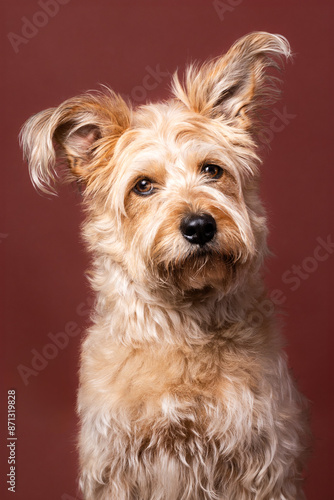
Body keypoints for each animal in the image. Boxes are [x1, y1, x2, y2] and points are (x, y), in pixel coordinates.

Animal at [20, 32, 310, 500]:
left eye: (212, 170)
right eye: (143, 186)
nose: (199, 226)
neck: (182, 327)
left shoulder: (263, 462)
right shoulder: (114, 466)